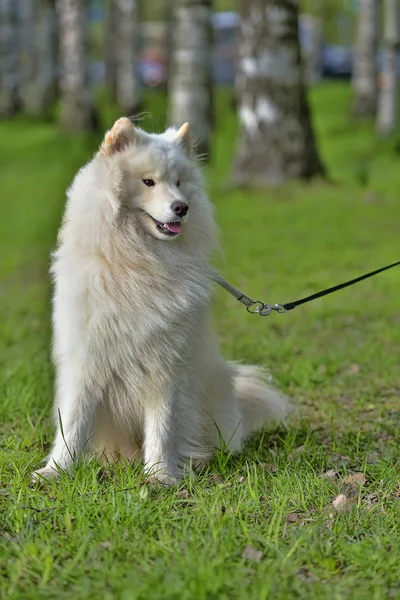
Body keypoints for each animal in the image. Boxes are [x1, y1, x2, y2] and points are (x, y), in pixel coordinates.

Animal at [32, 118, 290, 488]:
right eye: (148, 181)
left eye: (179, 183)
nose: (182, 207)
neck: (137, 262)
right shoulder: (86, 360)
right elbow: (73, 421)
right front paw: (56, 470)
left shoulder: (166, 364)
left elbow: (163, 425)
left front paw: (159, 475)